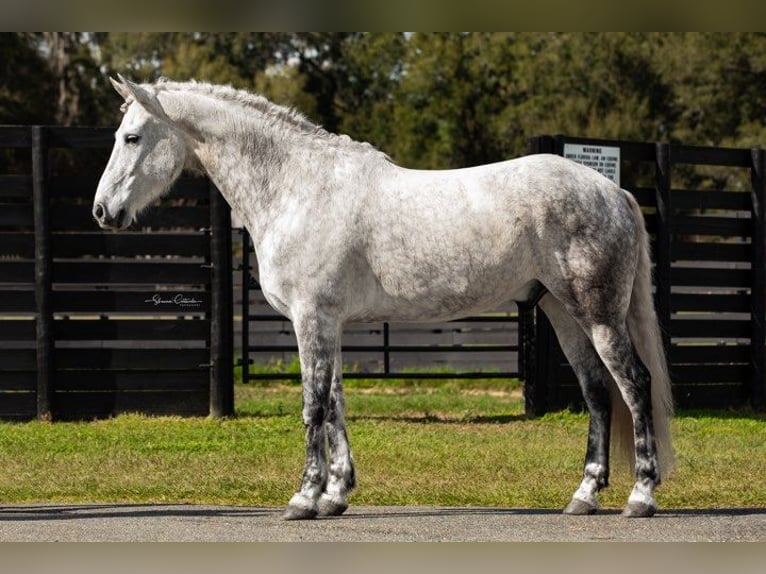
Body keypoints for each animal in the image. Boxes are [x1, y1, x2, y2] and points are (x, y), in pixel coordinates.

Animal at [93, 75, 676, 520]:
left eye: (132, 137)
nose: (102, 211)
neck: (298, 187)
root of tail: (613, 191)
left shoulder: (311, 320)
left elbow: (313, 406)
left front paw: (303, 499)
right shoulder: (329, 324)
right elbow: (335, 405)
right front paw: (335, 496)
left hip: (598, 316)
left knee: (634, 385)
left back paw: (640, 497)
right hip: (562, 313)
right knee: (598, 393)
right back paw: (584, 496)